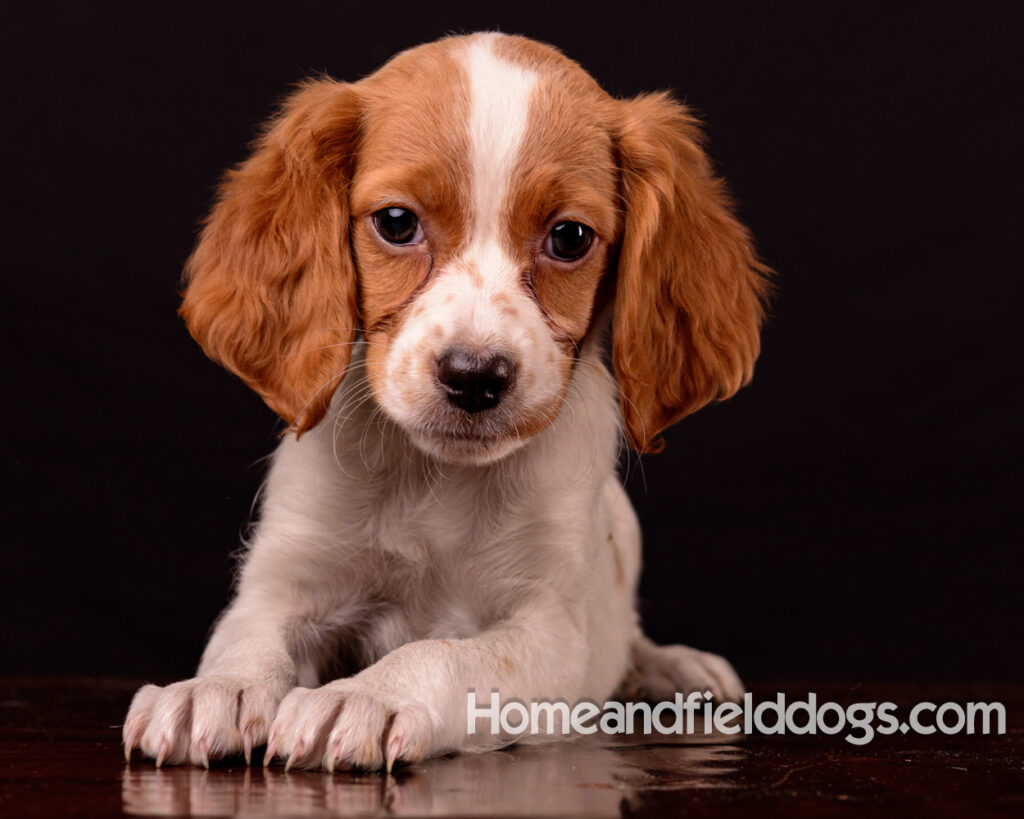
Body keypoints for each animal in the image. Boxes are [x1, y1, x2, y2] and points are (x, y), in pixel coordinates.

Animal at [123, 33, 770, 773]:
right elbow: (245, 640)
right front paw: (214, 690)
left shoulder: (552, 633)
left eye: (570, 238)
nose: (475, 376)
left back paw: (672, 667)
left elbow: (447, 654)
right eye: (397, 223)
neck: (436, 481)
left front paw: (364, 697)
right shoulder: (285, 580)